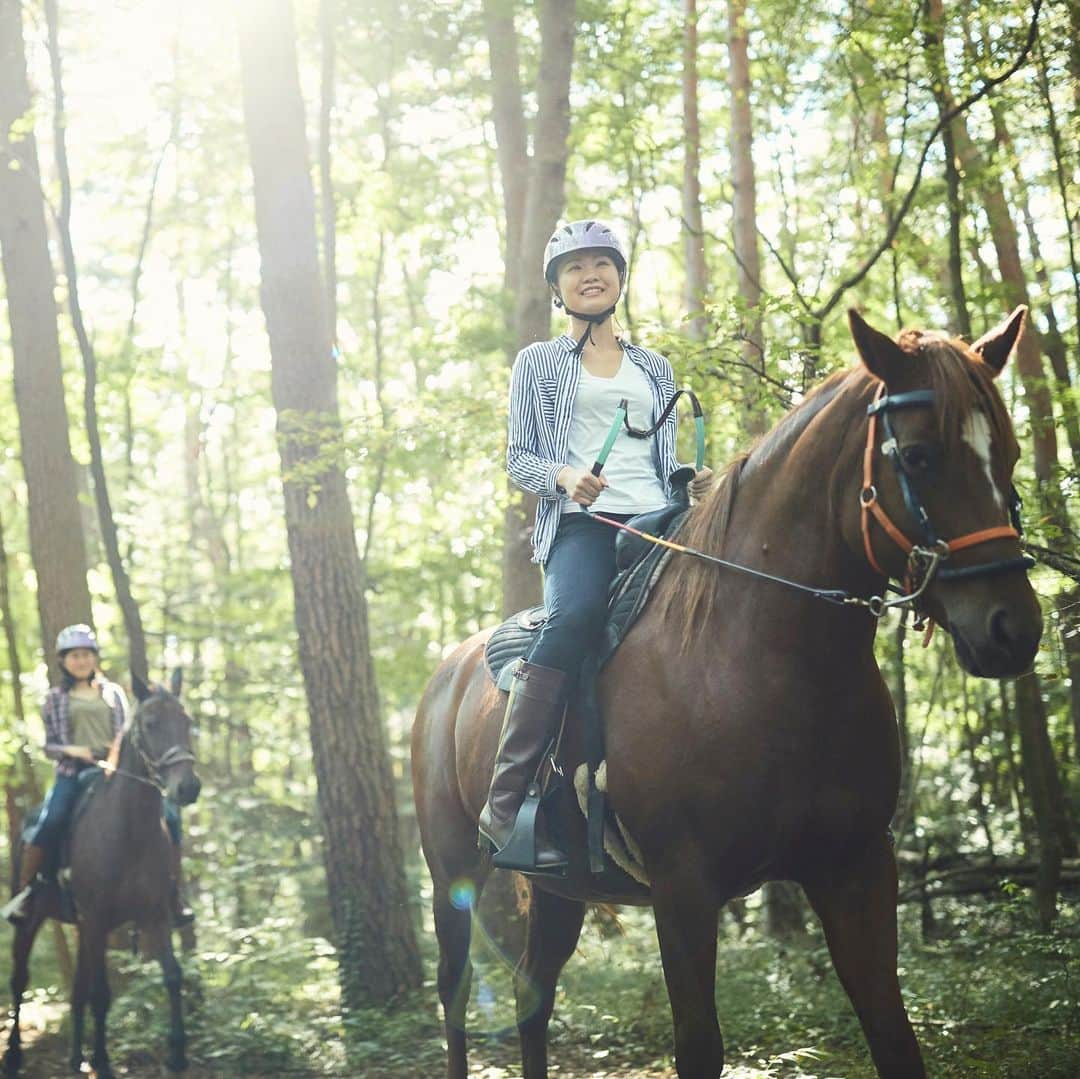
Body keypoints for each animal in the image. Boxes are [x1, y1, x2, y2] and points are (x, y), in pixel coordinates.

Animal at [6, 673, 203, 1079]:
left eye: (187, 721)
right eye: (150, 723)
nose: (188, 787)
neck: (128, 832)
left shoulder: (154, 915)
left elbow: (172, 975)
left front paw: (177, 1055)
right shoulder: (97, 920)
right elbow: (101, 994)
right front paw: (104, 1062)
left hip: (82, 929)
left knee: (76, 990)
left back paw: (76, 1059)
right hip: (33, 920)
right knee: (19, 981)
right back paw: (14, 1057)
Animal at [408, 308, 1041, 1075]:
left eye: (1008, 453)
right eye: (918, 457)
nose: (1013, 627)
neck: (761, 659)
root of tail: (447, 674)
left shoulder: (857, 867)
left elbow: (893, 1034)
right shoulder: (684, 886)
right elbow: (699, 1045)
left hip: (562, 886)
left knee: (535, 991)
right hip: (452, 872)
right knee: (455, 989)